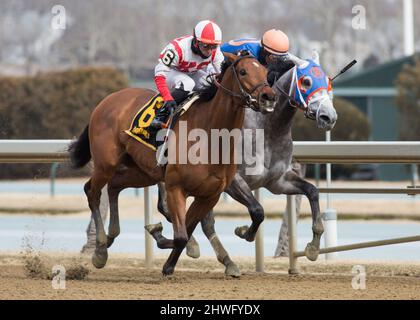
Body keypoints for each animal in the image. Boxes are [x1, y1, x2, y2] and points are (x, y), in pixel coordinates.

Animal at [87, 50, 336, 276]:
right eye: (306, 81)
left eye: (327, 81)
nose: (329, 116)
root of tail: (109, 99)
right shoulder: (231, 183)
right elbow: (254, 211)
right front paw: (241, 233)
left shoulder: (275, 181)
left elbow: (311, 191)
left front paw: (313, 246)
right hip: (108, 163)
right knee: (93, 190)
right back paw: (100, 249)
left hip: (142, 171)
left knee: (116, 186)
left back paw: (110, 238)